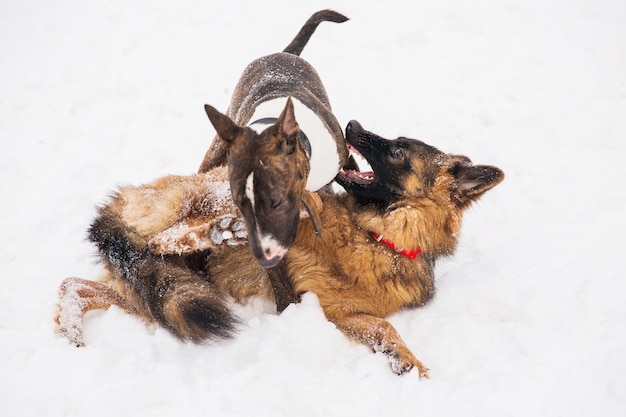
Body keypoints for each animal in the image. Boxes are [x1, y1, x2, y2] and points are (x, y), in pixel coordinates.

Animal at [54, 115, 502, 376]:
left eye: (396, 150)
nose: (352, 123)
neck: (377, 236)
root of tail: (122, 201)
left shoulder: (343, 314)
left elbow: (383, 327)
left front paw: (405, 360)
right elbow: (308, 206)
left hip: (164, 291)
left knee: (76, 284)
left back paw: (70, 331)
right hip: (196, 203)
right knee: (171, 232)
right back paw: (222, 231)